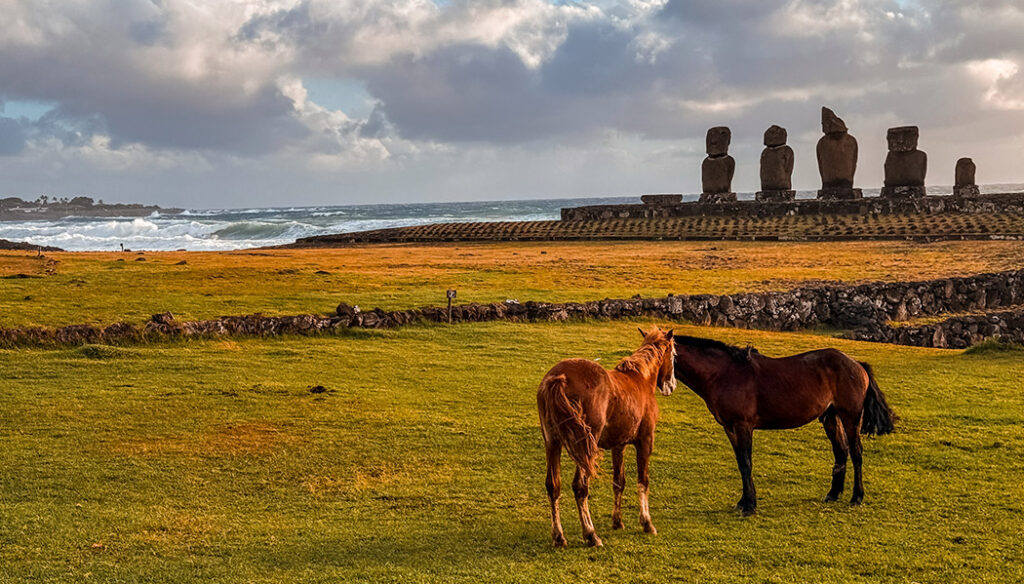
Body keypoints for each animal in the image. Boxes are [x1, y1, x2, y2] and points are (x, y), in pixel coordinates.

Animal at [540, 327, 675, 545]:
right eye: (673, 354)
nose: (671, 385)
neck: (640, 379)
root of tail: (560, 377)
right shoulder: (645, 441)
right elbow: (643, 481)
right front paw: (647, 523)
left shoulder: (618, 445)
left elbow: (619, 482)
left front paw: (617, 521)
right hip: (585, 447)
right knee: (580, 487)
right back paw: (591, 534)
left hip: (552, 444)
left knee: (553, 486)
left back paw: (559, 536)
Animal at [675, 334, 892, 512]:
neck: (724, 374)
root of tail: (857, 364)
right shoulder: (730, 428)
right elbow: (741, 463)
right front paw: (743, 502)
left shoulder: (743, 426)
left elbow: (746, 463)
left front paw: (749, 504)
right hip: (831, 417)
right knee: (841, 451)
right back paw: (833, 494)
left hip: (850, 418)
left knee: (856, 453)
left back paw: (857, 497)